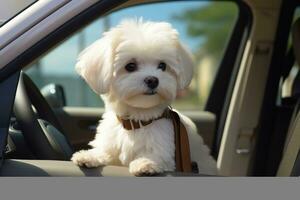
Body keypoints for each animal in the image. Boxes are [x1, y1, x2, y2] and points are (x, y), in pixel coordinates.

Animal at [72, 18, 218, 175]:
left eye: (162, 66)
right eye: (130, 66)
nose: (152, 80)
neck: (137, 121)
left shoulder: (166, 148)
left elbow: (158, 157)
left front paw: (146, 162)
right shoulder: (110, 143)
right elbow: (105, 152)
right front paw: (88, 156)